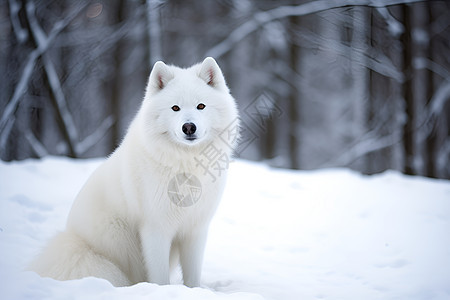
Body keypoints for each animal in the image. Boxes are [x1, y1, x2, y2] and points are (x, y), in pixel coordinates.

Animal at [30, 57, 241, 288]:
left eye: (201, 106)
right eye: (175, 108)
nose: (188, 127)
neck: (184, 165)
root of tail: (72, 239)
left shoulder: (195, 230)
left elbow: (192, 276)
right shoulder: (155, 229)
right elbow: (160, 277)